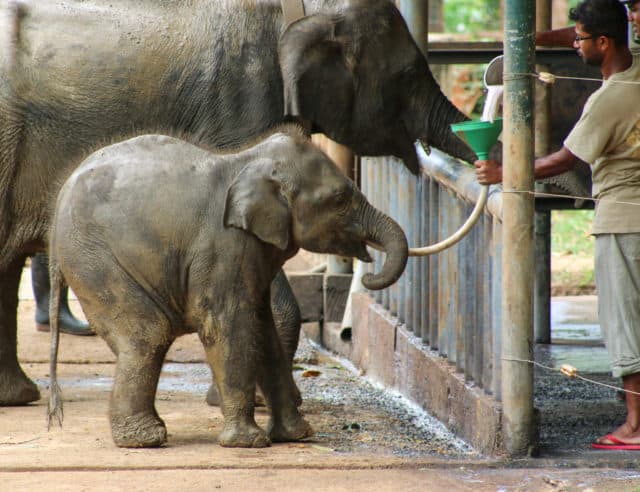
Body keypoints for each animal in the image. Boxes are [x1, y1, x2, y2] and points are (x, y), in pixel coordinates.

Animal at [47, 124, 408, 450]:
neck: (248, 161)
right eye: (339, 198)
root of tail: (57, 205)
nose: (366, 276)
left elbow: (263, 329)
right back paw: (146, 440)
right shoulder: (224, 247)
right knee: (148, 334)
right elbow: (229, 325)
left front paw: (297, 436)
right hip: (97, 261)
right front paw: (249, 443)